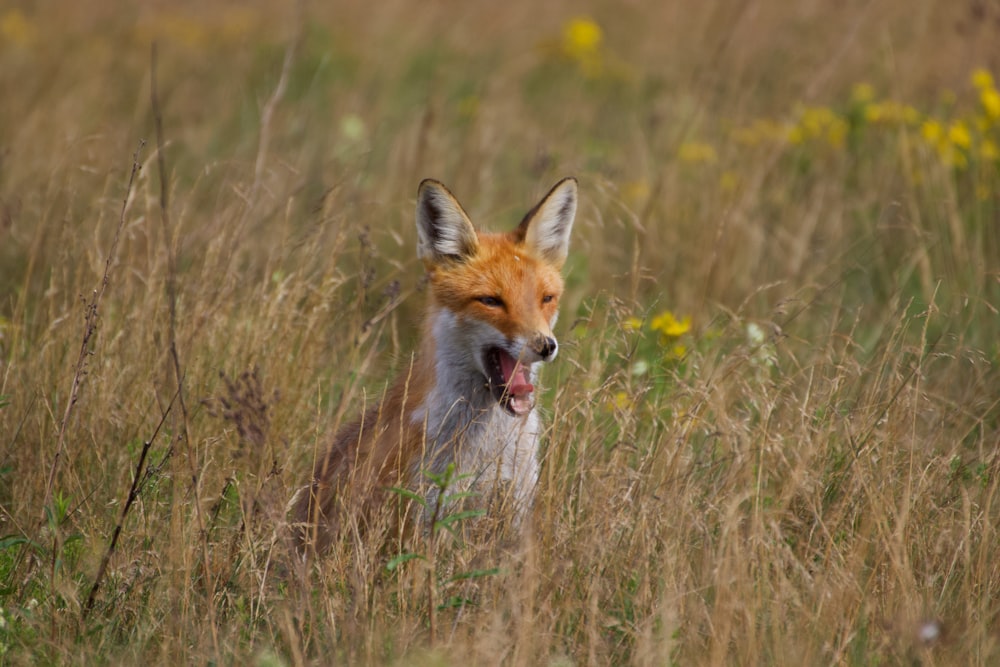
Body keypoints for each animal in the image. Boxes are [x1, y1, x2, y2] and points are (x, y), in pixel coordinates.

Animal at [292, 177, 580, 552]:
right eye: (491, 301)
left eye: (546, 298)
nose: (545, 346)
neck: (487, 447)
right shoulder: (421, 519)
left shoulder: (515, 512)